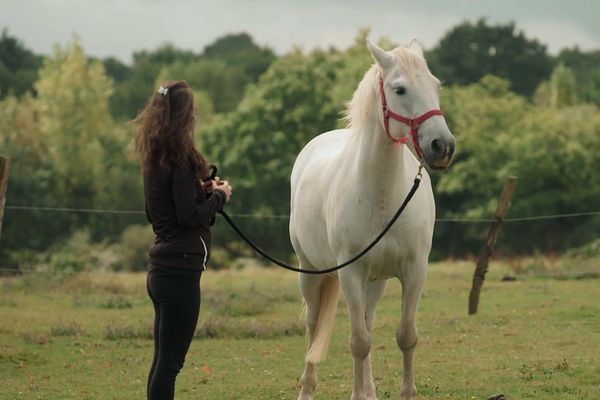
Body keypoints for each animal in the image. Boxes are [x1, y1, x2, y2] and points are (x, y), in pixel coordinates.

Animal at [290, 41, 454, 400]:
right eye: (400, 89)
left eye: (435, 85)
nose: (443, 146)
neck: (383, 196)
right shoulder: (350, 274)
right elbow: (358, 343)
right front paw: (356, 393)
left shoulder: (414, 271)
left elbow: (406, 335)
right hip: (310, 272)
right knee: (313, 325)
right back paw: (308, 388)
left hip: (376, 282)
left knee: (367, 319)